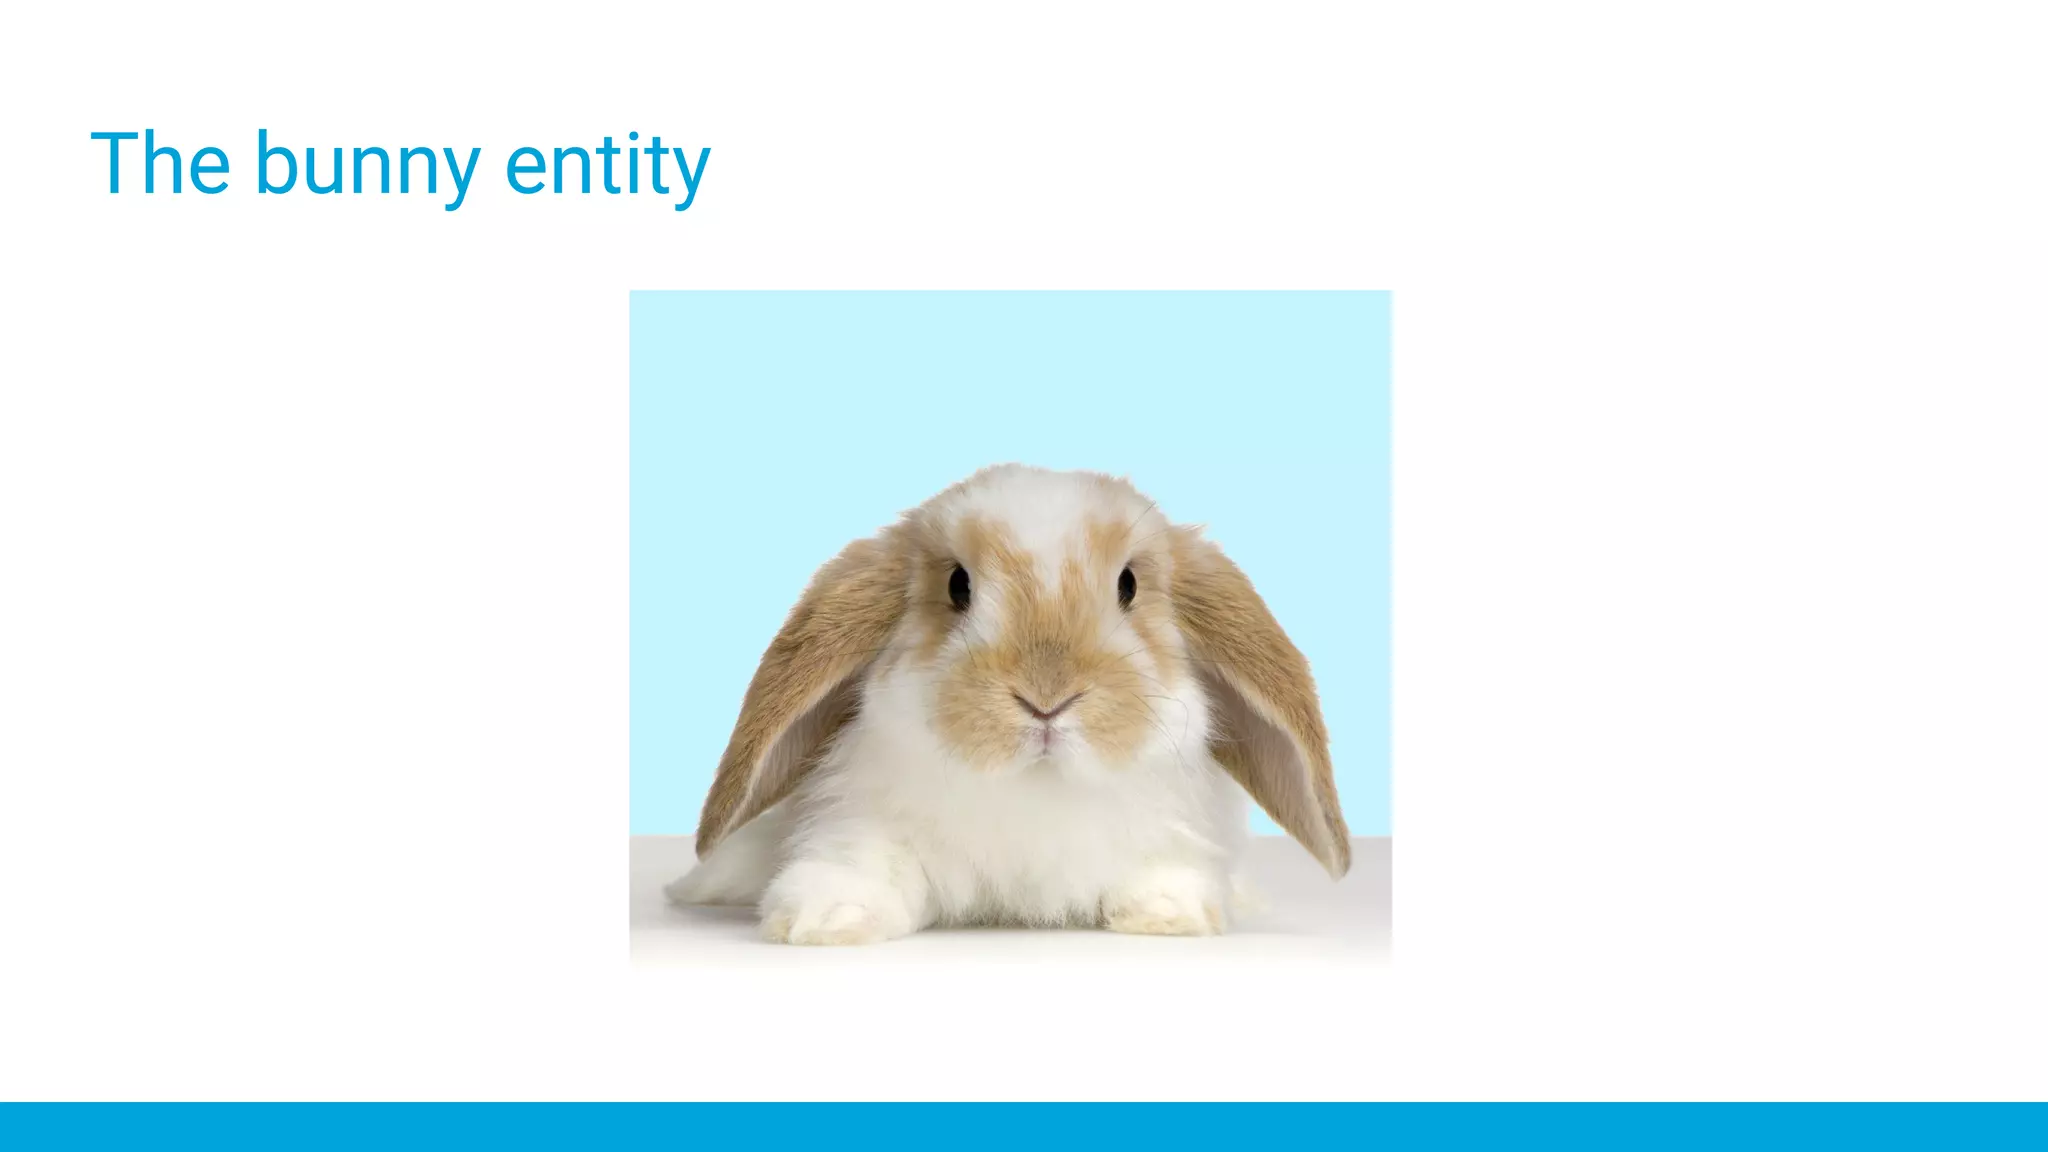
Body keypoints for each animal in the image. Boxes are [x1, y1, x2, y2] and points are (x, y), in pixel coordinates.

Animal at [664, 464, 1349, 944]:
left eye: (1128, 585)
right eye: (957, 584)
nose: (1046, 698)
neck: (1034, 788)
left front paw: (1169, 913)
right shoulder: (862, 821)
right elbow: (861, 866)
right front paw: (827, 918)